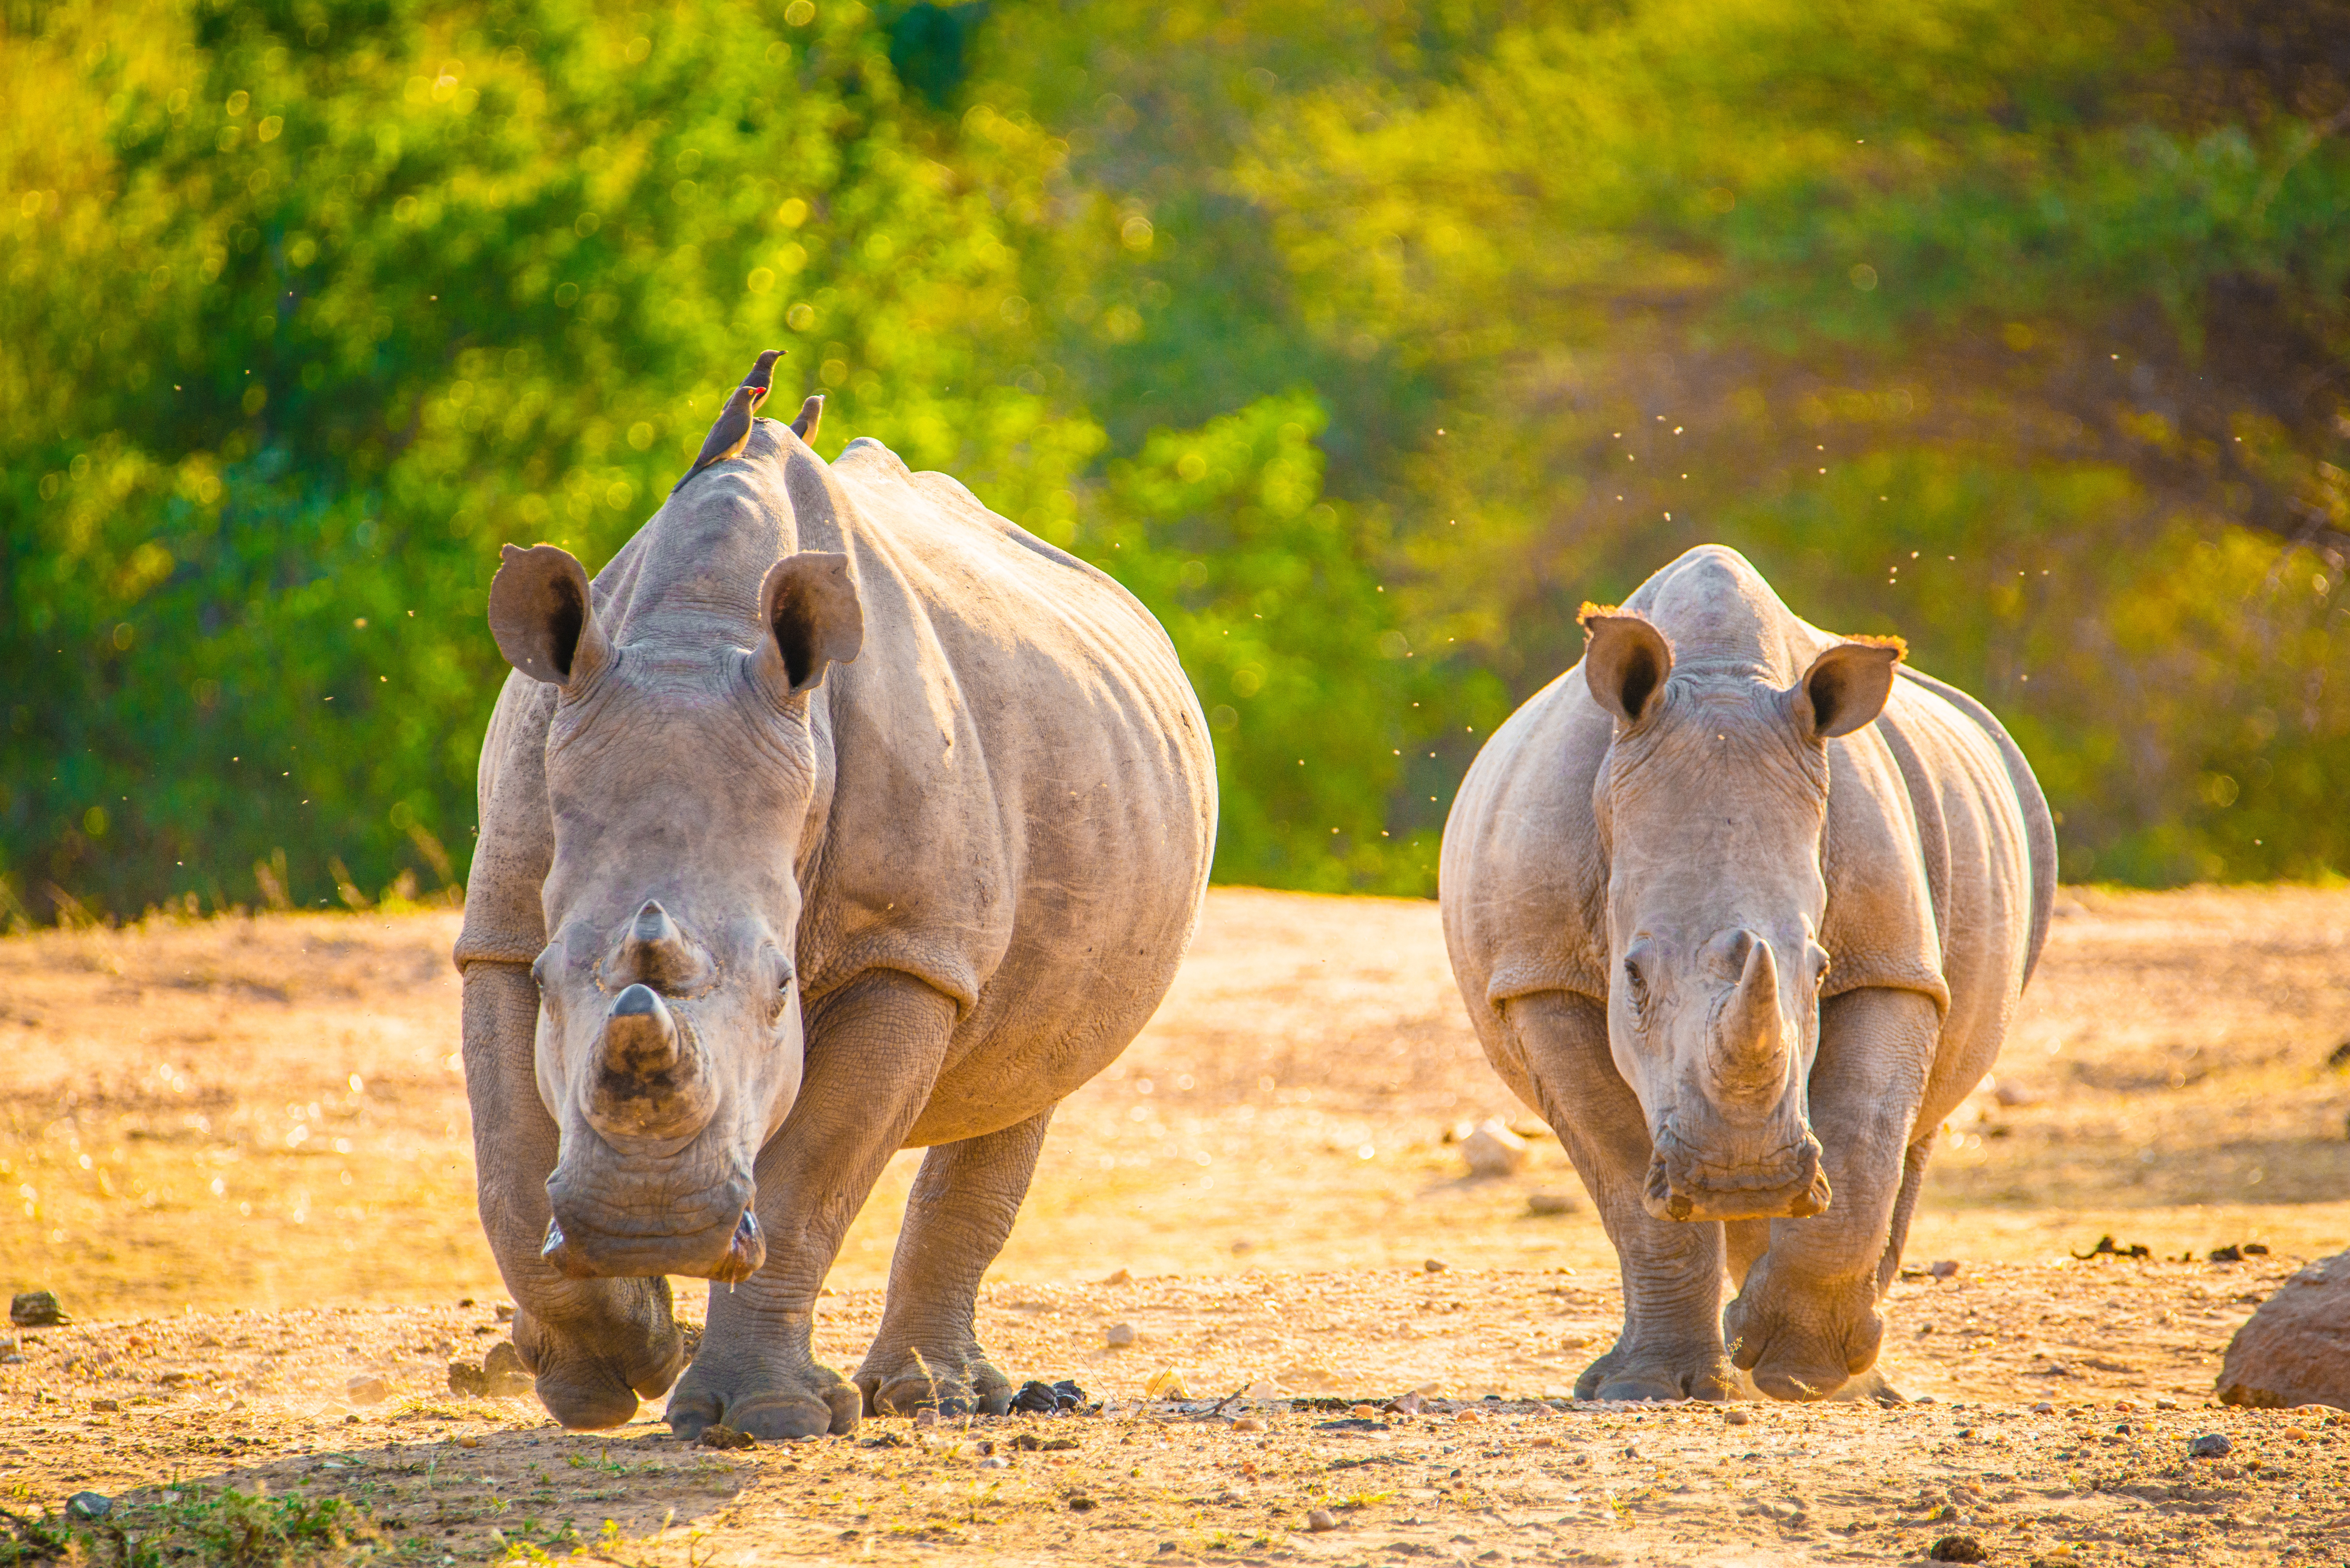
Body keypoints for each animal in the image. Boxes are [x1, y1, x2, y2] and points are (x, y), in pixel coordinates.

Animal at [455, 400, 1215, 1435]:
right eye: (548, 981)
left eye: (784, 992)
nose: (651, 1224)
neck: (695, 633)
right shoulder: (498, 926)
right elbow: (506, 1165)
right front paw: (611, 1366)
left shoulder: (905, 951)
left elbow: (810, 1180)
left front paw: (762, 1415)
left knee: (1031, 1072)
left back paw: (934, 1399)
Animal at [1440, 545, 2053, 1401]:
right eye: (1631, 977)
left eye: (1819, 970)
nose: (1743, 1178)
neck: (1719, 676)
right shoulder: (1538, 976)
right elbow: (1624, 1178)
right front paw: (1648, 1387)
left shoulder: (1890, 963)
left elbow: (1864, 1138)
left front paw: (1800, 1370)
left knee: (1917, 1129)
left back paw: (1852, 1380)